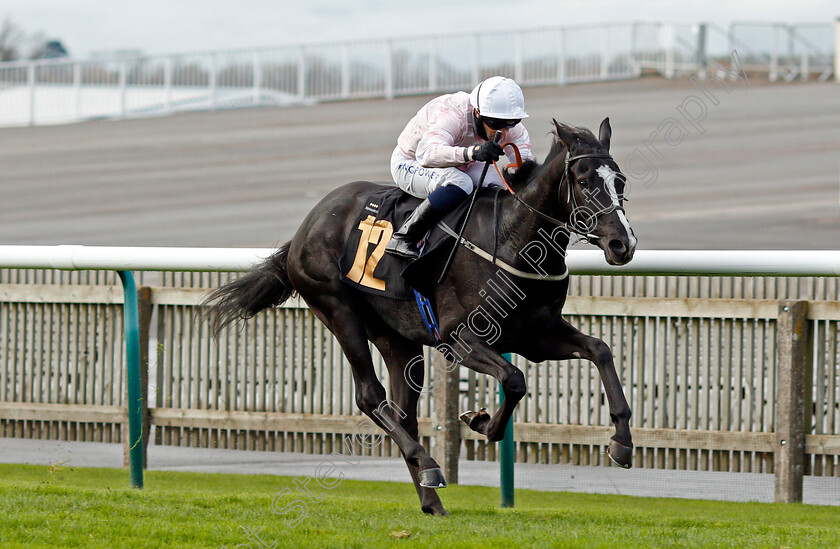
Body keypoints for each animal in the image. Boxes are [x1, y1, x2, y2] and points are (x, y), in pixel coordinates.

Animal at [205, 117, 636, 516]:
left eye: (620, 181)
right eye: (583, 181)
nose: (623, 244)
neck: (513, 239)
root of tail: (305, 228)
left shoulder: (536, 335)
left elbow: (599, 349)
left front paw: (622, 443)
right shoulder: (458, 337)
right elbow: (514, 379)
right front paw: (480, 422)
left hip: (397, 337)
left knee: (402, 411)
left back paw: (431, 497)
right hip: (338, 308)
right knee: (370, 397)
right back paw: (428, 465)